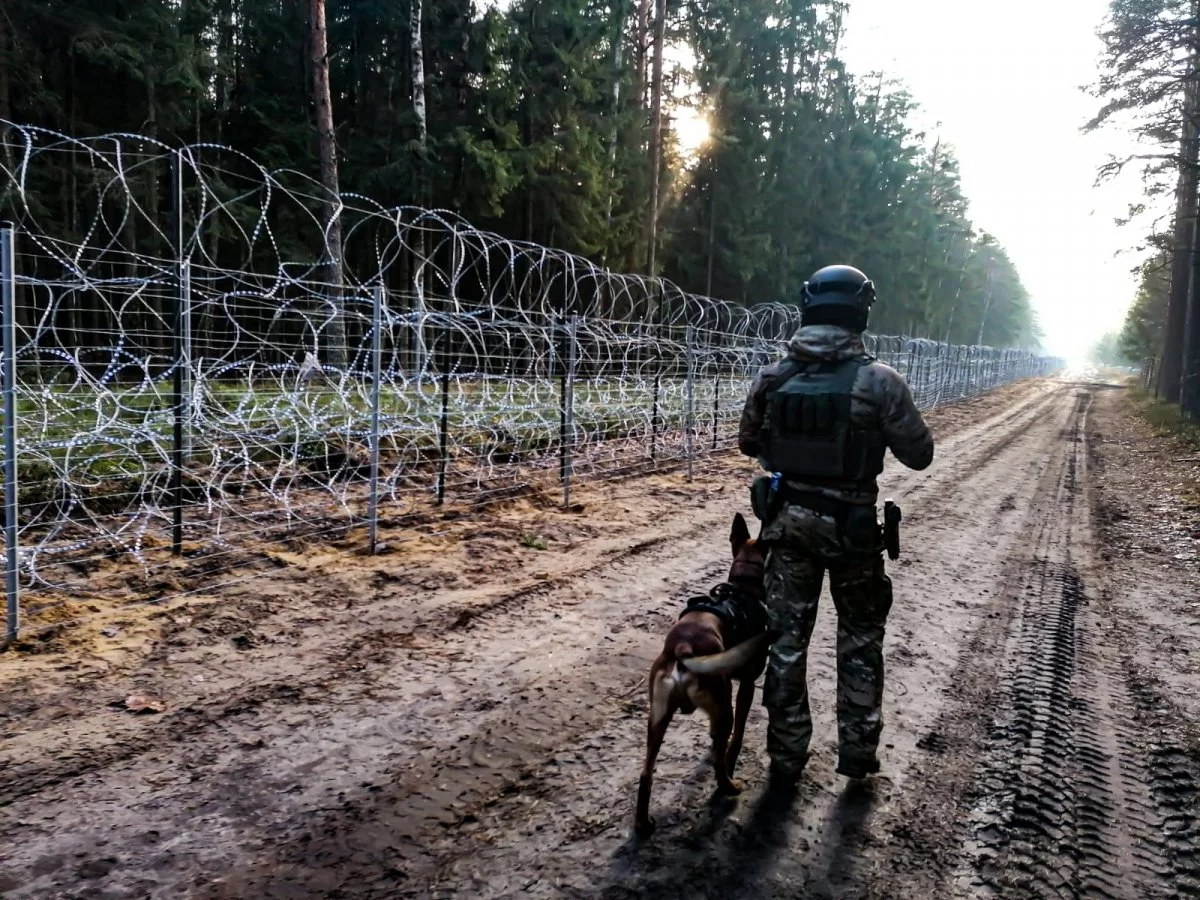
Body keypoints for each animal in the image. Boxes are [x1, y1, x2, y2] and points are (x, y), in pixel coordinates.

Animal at [638, 513, 768, 840]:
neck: (743, 588)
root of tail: (681, 648)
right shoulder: (746, 685)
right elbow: (737, 737)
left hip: (658, 719)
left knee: (646, 774)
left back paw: (642, 824)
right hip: (722, 708)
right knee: (721, 764)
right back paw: (729, 787)